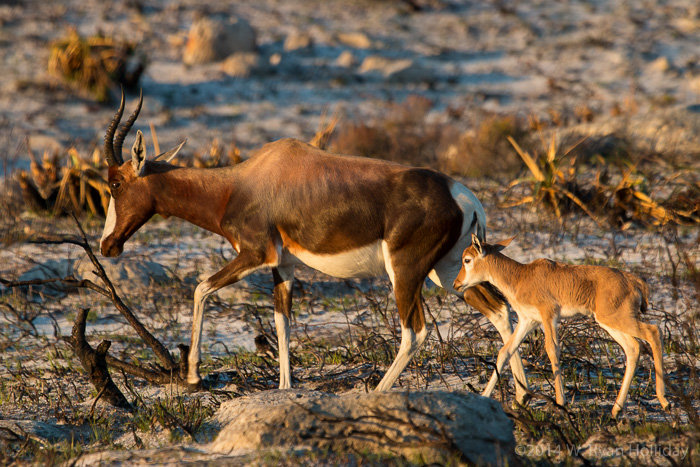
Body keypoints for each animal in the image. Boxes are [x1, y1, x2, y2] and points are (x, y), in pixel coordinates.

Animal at [452, 236, 668, 418]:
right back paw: (616, 410)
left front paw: (560, 403)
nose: (456, 283)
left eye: (467, 260)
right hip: (610, 323)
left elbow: (552, 350)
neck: (522, 276)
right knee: (633, 348)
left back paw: (664, 401)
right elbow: (505, 351)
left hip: (617, 320)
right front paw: (484, 396)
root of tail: (635, 281)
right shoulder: (528, 321)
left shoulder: (548, 317)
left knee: (654, 332)